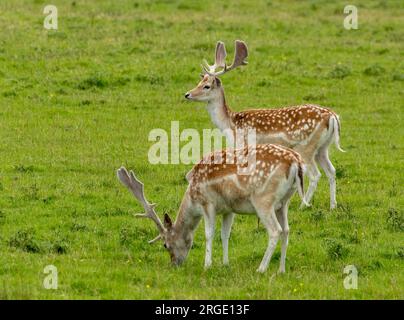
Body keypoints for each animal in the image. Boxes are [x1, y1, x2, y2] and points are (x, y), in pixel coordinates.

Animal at [117, 144, 306, 272]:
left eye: (165, 245)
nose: (174, 263)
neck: (192, 197)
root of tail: (296, 162)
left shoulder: (208, 203)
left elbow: (209, 234)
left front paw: (207, 264)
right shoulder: (229, 209)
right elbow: (225, 235)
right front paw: (225, 263)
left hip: (263, 199)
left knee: (275, 231)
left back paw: (261, 269)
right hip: (284, 202)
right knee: (286, 230)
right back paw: (281, 269)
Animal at [185, 40, 346, 210]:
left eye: (206, 86)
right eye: (199, 82)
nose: (187, 94)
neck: (231, 124)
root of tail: (333, 116)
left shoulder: (244, 145)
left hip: (306, 147)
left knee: (315, 175)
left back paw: (304, 205)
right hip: (322, 148)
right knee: (331, 171)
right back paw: (333, 206)